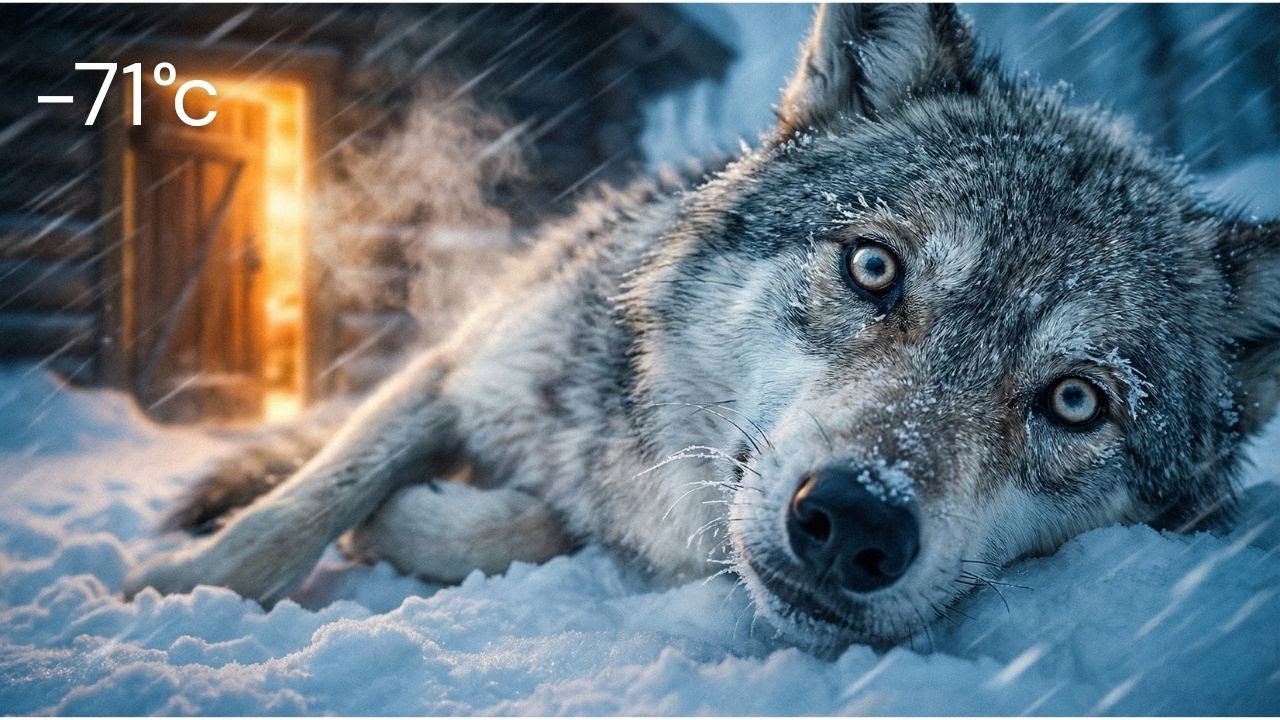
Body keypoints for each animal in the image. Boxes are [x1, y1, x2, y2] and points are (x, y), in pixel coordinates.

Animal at [124, 3, 1280, 650]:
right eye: (873, 268)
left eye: (1075, 401)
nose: (854, 520)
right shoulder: (464, 364)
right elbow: (306, 505)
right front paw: (173, 593)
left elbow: (527, 527)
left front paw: (426, 521)